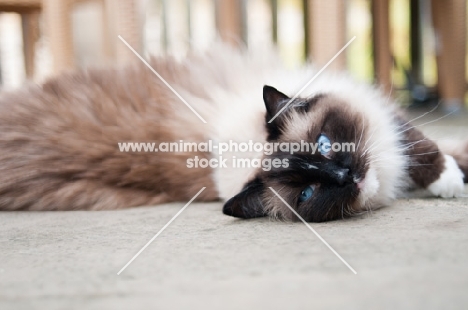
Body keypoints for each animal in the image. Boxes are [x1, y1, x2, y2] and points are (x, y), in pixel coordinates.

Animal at [0, 44, 466, 222]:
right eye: (307, 192)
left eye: (325, 145)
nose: (345, 175)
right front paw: (454, 182)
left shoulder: (381, 116)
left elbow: (425, 149)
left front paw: (451, 180)